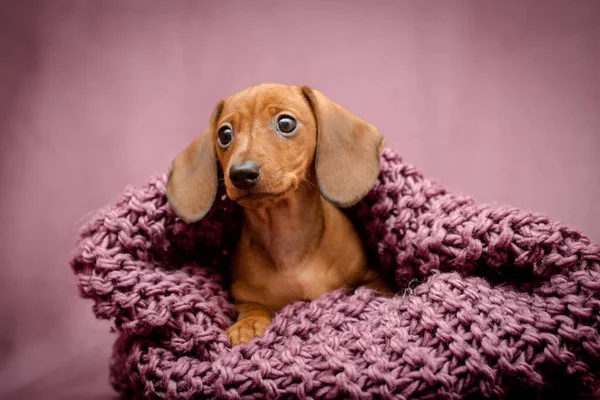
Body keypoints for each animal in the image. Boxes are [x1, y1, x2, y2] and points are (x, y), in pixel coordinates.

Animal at [165, 83, 390, 346]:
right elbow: (252, 305)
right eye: (224, 134)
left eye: (286, 123)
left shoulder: (373, 279)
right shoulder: (241, 292)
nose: (241, 173)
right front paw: (248, 324)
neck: (286, 238)